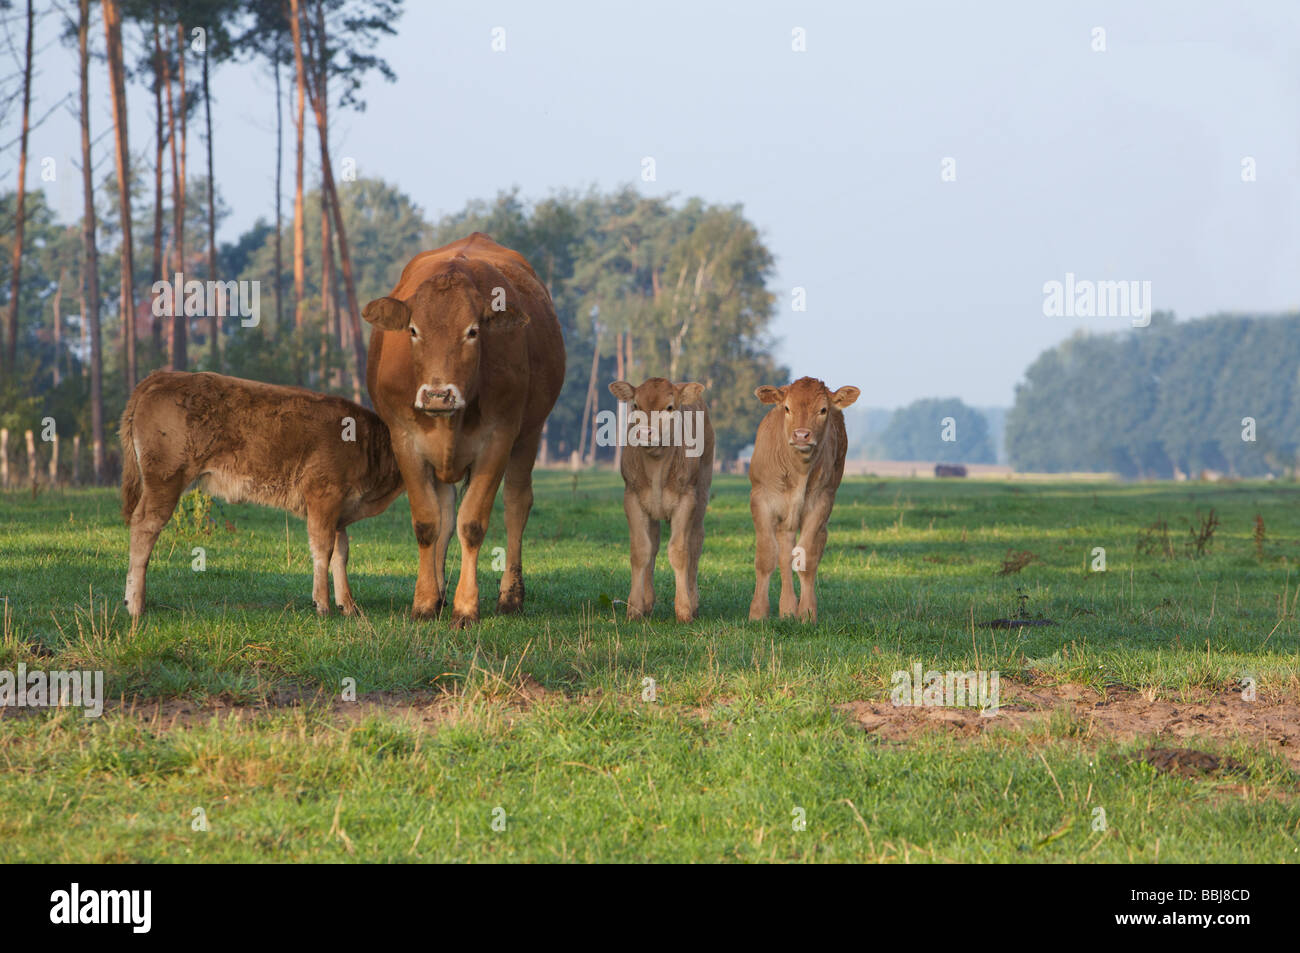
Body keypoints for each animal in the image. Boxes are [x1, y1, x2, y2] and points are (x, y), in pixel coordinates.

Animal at [119, 370, 405, 619]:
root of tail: (163, 376)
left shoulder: (340, 512)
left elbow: (341, 554)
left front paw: (348, 605)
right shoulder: (323, 496)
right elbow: (322, 549)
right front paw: (322, 605)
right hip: (164, 479)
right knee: (144, 526)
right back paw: (135, 605)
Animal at [362, 233, 565, 628]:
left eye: (472, 331)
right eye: (414, 330)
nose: (438, 395)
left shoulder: (497, 441)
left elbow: (472, 523)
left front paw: (467, 607)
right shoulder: (405, 441)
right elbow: (428, 523)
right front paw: (425, 601)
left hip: (529, 436)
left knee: (516, 504)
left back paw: (510, 596)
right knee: (444, 511)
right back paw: (439, 592)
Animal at [607, 378, 714, 622]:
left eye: (669, 407)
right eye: (636, 405)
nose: (645, 432)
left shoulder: (686, 500)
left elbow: (679, 551)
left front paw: (684, 609)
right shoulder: (632, 498)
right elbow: (641, 550)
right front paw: (635, 607)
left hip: (702, 491)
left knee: (695, 542)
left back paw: (693, 601)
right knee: (653, 544)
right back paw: (647, 601)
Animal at [748, 377, 861, 622]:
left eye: (823, 410)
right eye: (787, 408)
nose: (801, 435)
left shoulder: (820, 505)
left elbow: (807, 558)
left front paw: (807, 612)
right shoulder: (761, 501)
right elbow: (766, 557)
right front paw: (758, 612)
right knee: (783, 556)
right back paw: (787, 607)